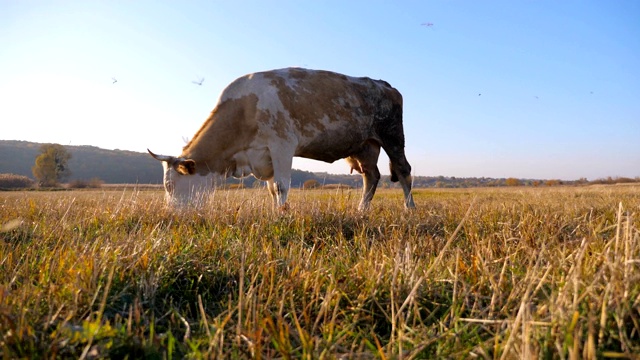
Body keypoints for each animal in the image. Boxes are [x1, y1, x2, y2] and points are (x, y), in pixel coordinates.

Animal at [148, 67, 418, 211]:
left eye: (170, 186)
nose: (171, 214)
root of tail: (383, 84)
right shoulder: (264, 156)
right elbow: (271, 189)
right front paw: (277, 211)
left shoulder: (282, 144)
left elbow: (281, 185)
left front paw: (281, 214)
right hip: (365, 146)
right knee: (371, 176)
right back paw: (361, 211)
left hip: (392, 134)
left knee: (403, 170)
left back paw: (410, 208)